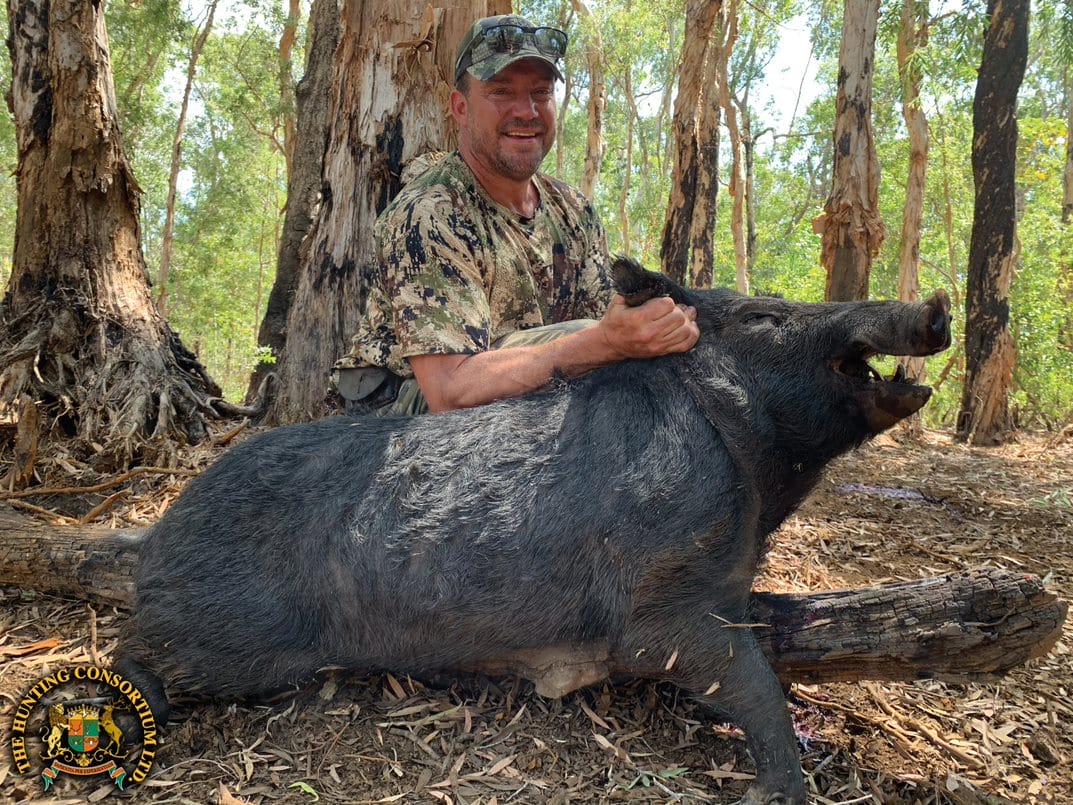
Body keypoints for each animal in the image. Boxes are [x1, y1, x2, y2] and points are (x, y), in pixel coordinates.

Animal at [118, 257, 951, 804]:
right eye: (763, 316)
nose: (937, 303)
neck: (755, 487)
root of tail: (155, 536)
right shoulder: (657, 604)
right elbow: (748, 680)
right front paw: (774, 793)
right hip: (229, 637)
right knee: (136, 656)